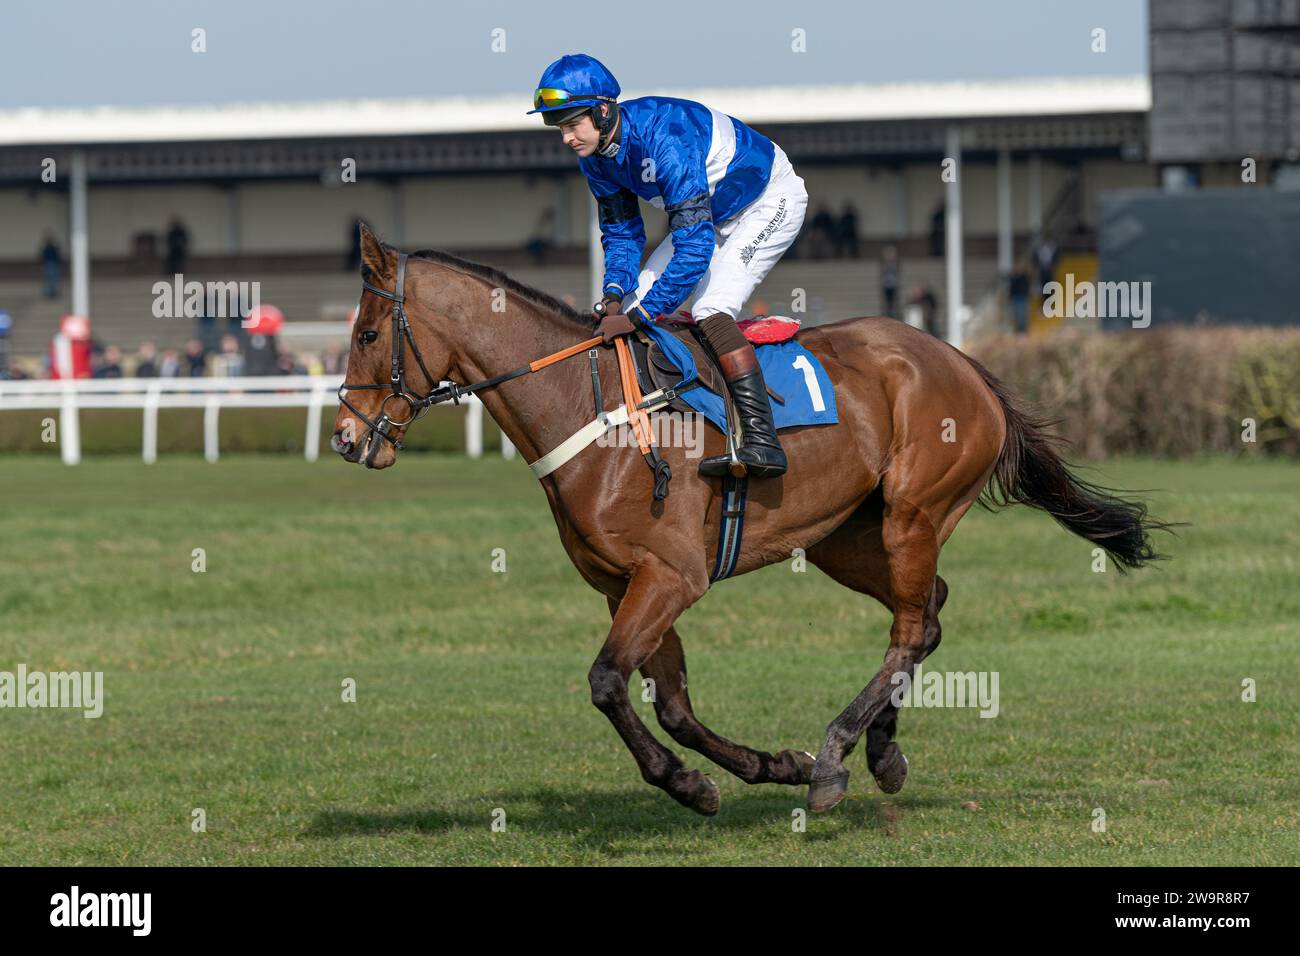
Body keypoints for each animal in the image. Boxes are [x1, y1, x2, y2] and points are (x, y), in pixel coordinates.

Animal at [335, 223, 1170, 816]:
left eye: (369, 334)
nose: (345, 437)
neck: (588, 407)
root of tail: (962, 361)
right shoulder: (626, 585)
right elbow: (671, 705)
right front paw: (755, 769)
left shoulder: (672, 575)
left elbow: (606, 683)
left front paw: (698, 781)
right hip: (845, 537)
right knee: (927, 613)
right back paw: (879, 752)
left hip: (914, 513)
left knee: (909, 627)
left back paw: (836, 755)